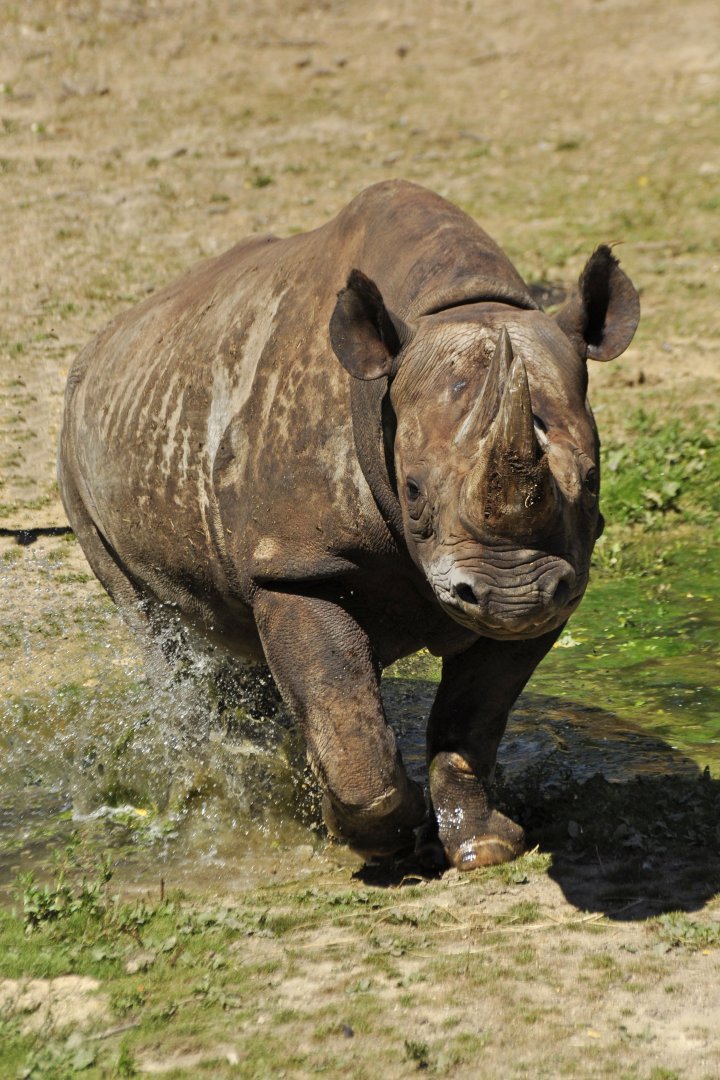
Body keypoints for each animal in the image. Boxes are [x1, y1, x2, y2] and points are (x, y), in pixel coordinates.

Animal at [58, 180, 639, 870]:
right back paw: (212, 781)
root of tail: (99, 344)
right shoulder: (296, 563)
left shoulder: (558, 579)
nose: (511, 597)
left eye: (594, 480)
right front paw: (378, 837)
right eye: (412, 491)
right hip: (74, 462)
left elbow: (471, 719)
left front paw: (484, 844)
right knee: (156, 629)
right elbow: (339, 703)